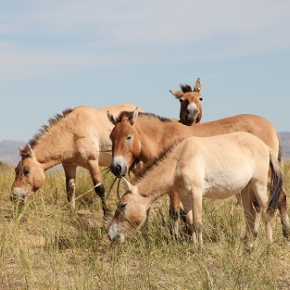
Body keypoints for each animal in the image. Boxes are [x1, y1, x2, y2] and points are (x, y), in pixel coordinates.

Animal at [9, 103, 143, 219]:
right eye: (16, 170)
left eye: (26, 171)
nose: (13, 196)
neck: (72, 133)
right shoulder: (69, 165)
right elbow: (70, 188)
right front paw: (71, 211)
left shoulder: (92, 162)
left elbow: (99, 188)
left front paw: (107, 215)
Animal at [107, 109, 290, 238]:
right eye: (111, 137)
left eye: (128, 137)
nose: (116, 167)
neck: (162, 138)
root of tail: (271, 127)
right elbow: (184, 215)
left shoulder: (177, 191)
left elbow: (175, 213)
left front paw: (175, 238)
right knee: (258, 208)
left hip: (265, 180)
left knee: (278, 199)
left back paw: (284, 235)